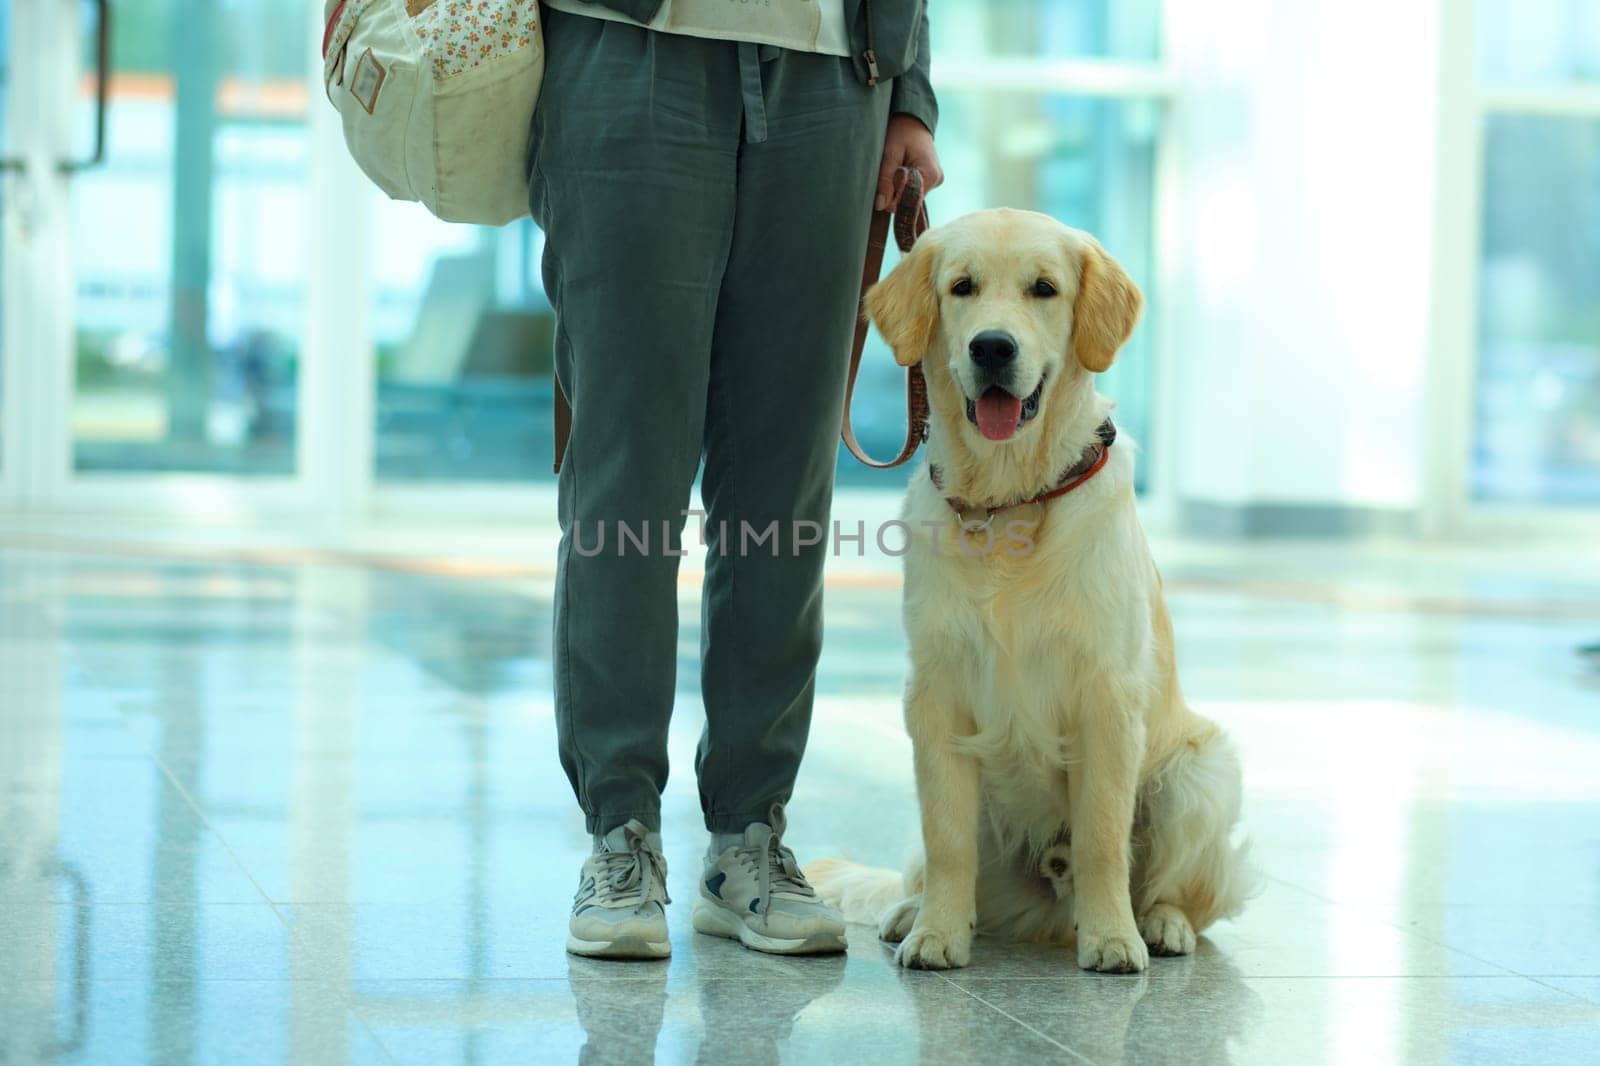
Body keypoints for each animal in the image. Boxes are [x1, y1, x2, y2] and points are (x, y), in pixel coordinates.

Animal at [812, 209, 1248, 973]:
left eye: (1044, 289)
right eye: (961, 287)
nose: (992, 346)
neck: (1009, 499)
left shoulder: (1106, 695)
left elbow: (1103, 837)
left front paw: (1112, 939)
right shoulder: (935, 692)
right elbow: (947, 838)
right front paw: (937, 933)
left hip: (1201, 775)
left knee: (1176, 889)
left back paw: (1160, 926)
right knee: (932, 865)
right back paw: (911, 912)